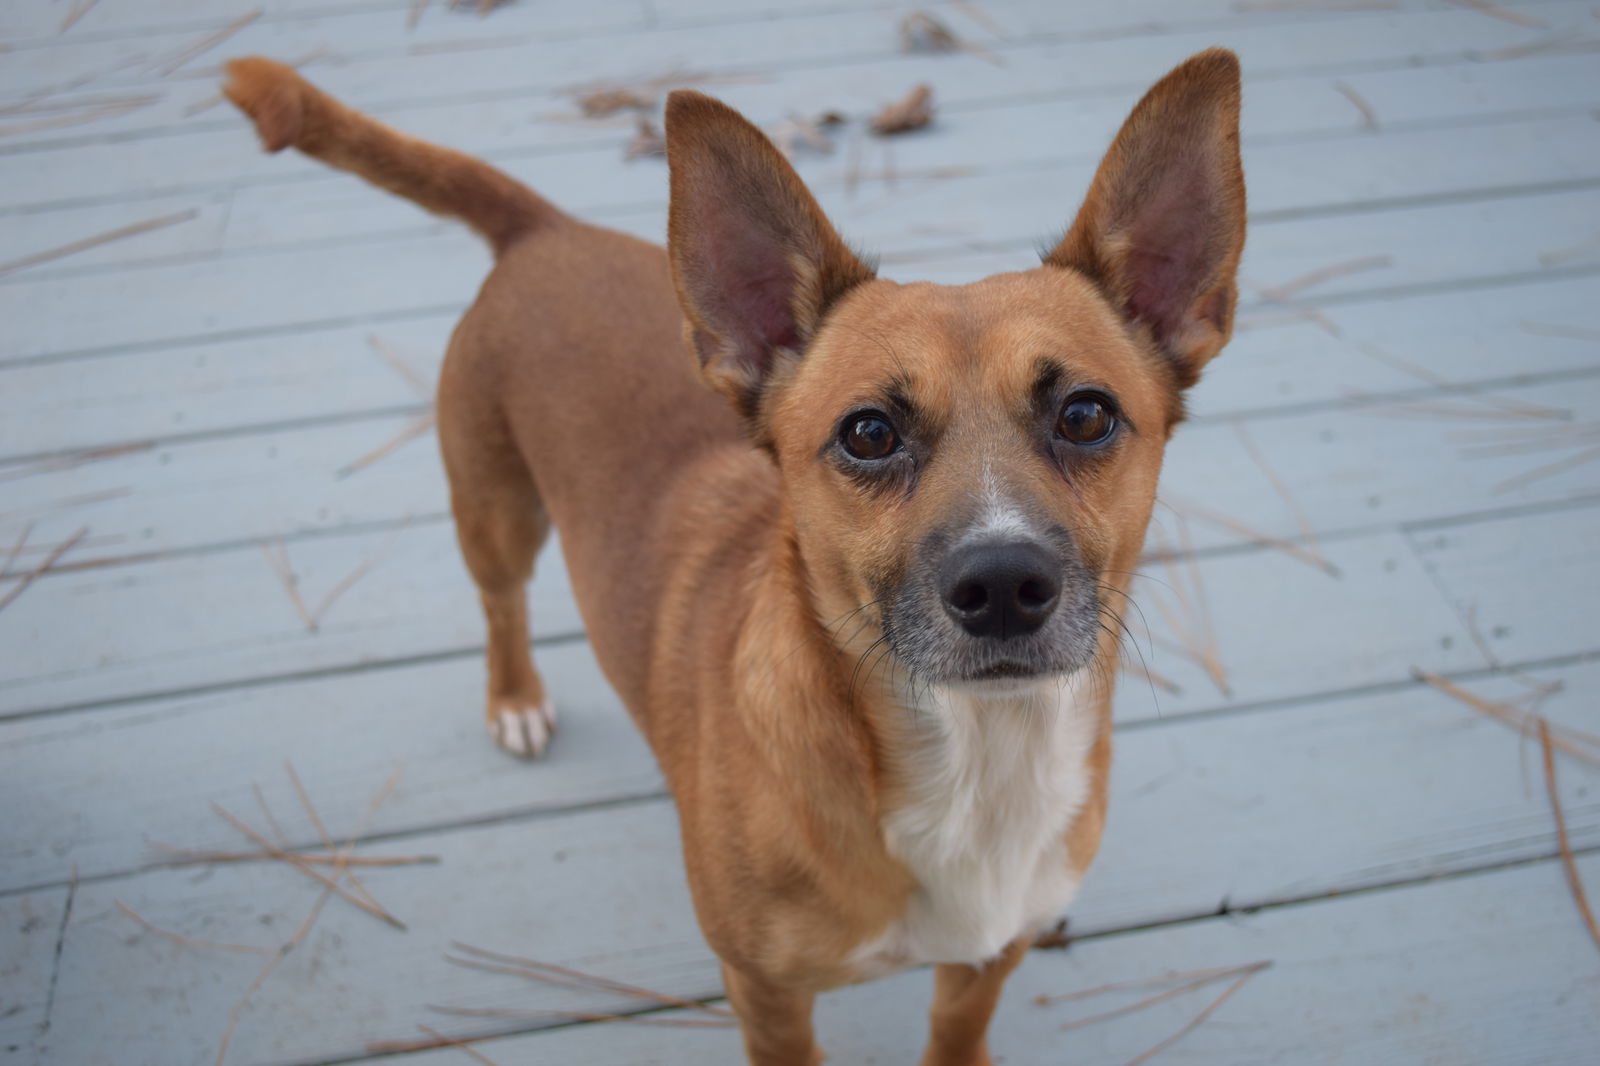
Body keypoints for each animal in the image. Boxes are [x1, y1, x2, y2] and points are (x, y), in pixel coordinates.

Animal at [228, 54, 1248, 1062]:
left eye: (1085, 414)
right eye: (868, 433)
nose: (1002, 584)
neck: (975, 758)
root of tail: (545, 230)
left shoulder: (990, 956)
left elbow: (956, 1032)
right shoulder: (766, 993)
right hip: (495, 514)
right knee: (501, 602)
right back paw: (514, 696)